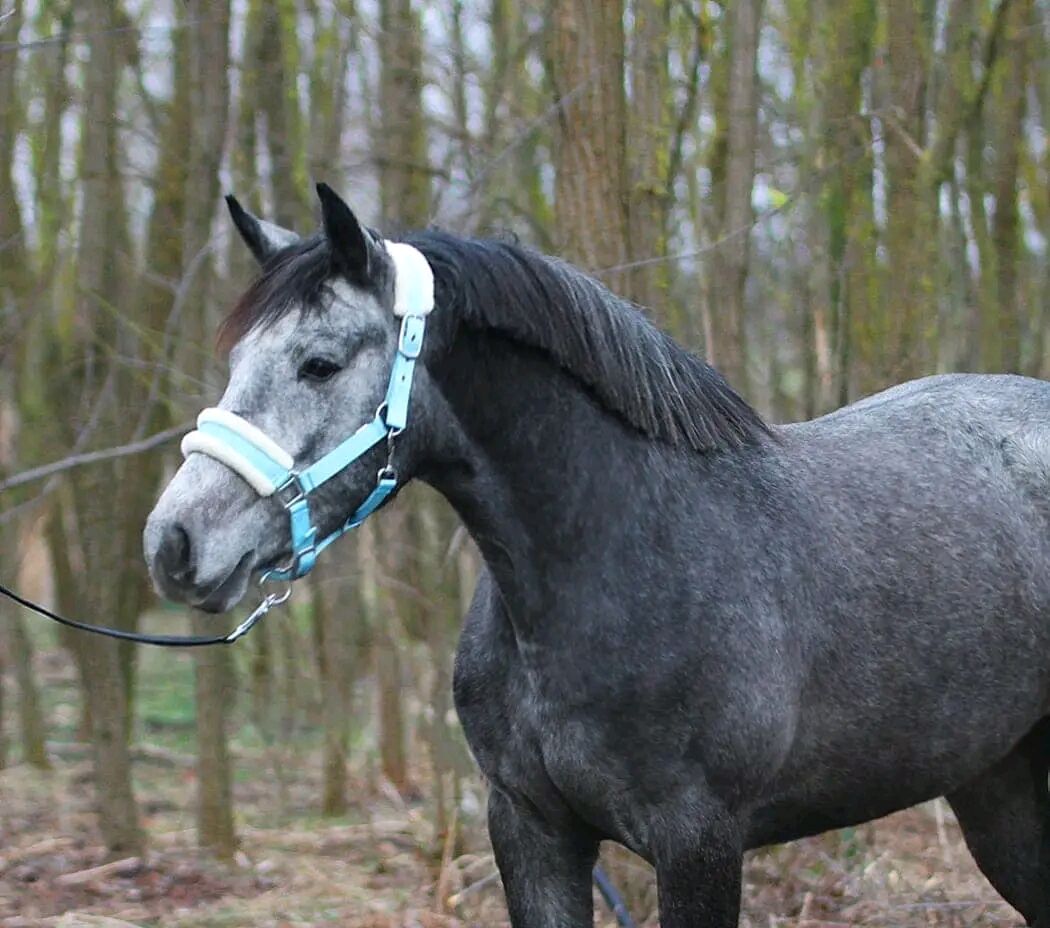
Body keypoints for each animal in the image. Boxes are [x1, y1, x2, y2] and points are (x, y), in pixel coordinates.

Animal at [144, 184, 1050, 927]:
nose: (174, 543)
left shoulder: (699, 845)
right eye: (236, 360)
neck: (618, 557)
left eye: (320, 362)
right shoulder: (532, 831)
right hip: (995, 784)